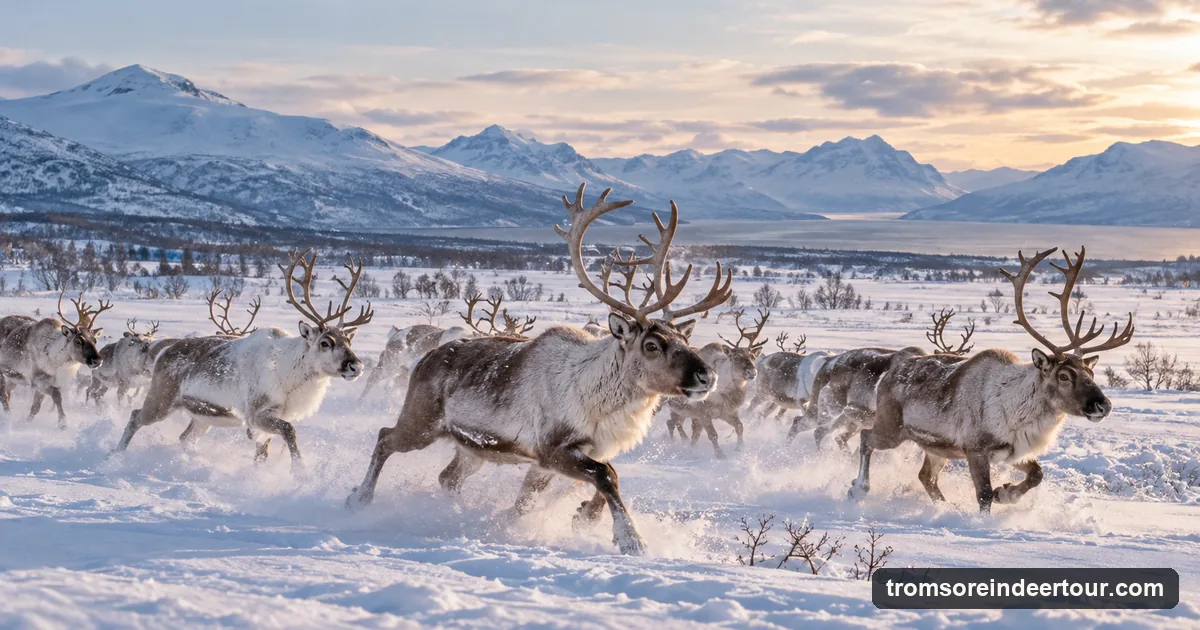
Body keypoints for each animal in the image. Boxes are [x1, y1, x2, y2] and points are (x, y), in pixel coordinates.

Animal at [0, 294, 111, 428]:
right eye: (78, 341)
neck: (57, 362)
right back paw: (8, 415)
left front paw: (25, 422)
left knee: (8, 392)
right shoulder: (38, 381)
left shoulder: (46, 383)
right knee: (3, 395)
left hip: (14, 379)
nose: (98, 360)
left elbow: (35, 407)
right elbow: (57, 396)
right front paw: (62, 423)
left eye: (95, 340)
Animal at [112, 249, 374, 467]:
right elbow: (289, 431)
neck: (289, 373)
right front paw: (299, 470)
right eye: (325, 342)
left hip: (202, 417)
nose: (356, 366)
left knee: (185, 437)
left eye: (348, 341)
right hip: (162, 399)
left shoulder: (269, 419)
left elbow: (262, 454)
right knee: (135, 417)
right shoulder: (257, 414)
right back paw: (114, 455)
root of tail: (163, 352)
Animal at [345, 184, 732, 555]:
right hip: (422, 423)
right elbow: (607, 476)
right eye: (652, 345)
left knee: (447, 477)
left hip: (471, 448)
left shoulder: (559, 459)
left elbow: (543, 496)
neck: (599, 395)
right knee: (385, 438)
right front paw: (631, 539)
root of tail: (422, 359)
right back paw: (359, 498)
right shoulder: (553, 450)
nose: (707, 376)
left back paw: (453, 512)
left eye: (684, 337)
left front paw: (580, 516)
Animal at [666, 308, 767, 457]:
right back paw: (676, 441)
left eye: (753, 357)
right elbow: (712, 434)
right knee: (672, 423)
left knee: (673, 422)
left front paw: (740, 447)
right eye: (736, 357)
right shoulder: (703, 412)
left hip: (683, 410)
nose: (752, 372)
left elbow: (739, 426)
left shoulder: (726, 411)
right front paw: (720, 454)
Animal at [850, 247, 1134, 513]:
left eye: (1091, 373)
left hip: (937, 448)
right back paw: (858, 487)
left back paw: (945, 507)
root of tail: (889, 372)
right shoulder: (975, 449)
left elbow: (1037, 474)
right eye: (1064, 375)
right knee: (866, 437)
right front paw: (987, 513)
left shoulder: (1015, 451)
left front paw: (1005, 493)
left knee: (926, 477)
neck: (1017, 410)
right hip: (892, 429)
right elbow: (983, 495)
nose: (1103, 405)